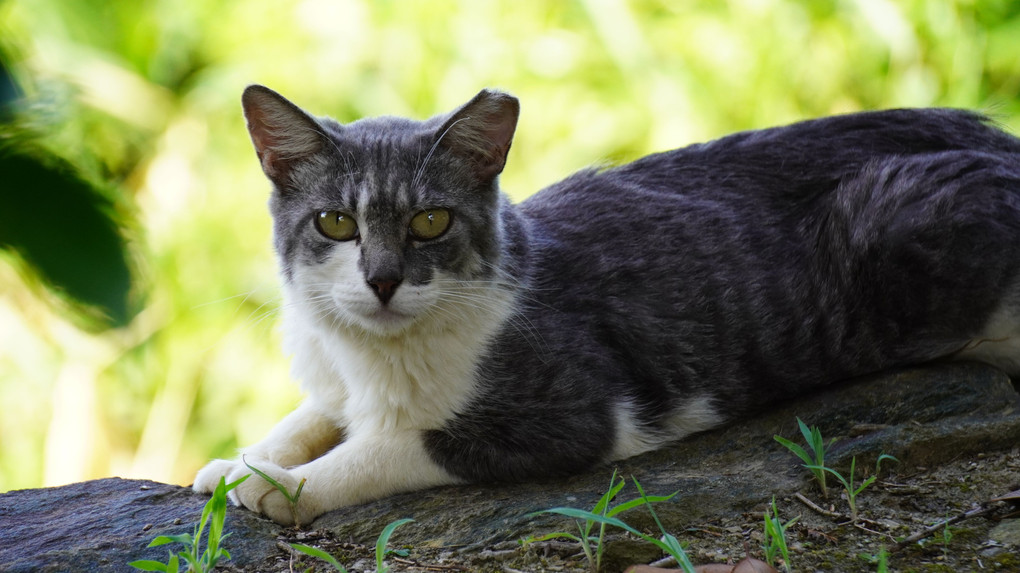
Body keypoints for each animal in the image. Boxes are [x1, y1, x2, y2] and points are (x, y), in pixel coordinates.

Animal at [192, 82, 1020, 526]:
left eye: (430, 221)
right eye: (335, 222)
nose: (383, 280)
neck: (373, 354)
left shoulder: (571, 412)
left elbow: (396, 446)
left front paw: (280, 487)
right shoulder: (336, 378)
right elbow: (315, 413)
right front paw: (236, 464)